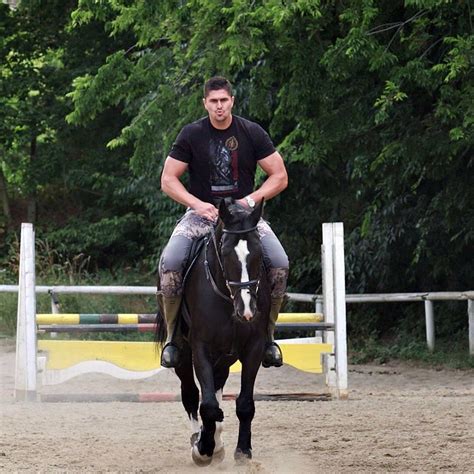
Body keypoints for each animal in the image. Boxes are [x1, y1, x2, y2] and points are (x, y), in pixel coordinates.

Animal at [156, 198, 270, 464]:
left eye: (259, 252)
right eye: (226, 253)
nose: (247, 310)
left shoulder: (254, 347)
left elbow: (244, 404)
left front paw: (243, 450)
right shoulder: (201, 348)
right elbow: (206, 405)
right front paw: (203, 448)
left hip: (226, 356)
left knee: (216, 388)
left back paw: (217, 442)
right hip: (184, 355)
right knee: (190, 394)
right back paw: (200, 440)